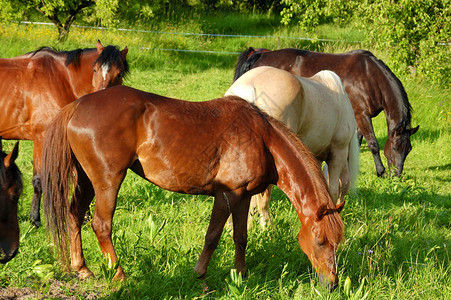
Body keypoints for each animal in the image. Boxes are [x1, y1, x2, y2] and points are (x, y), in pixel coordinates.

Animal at [0, 39, 129, 227]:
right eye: (95, 70)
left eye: (119, 74)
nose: (101, 99)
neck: (61, 80)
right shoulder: (41, 138)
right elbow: (39, 180)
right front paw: (35, 219)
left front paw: (84, 217)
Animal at [42, 85, 346, 290]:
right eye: (320, 241)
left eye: (337, 242)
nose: (331, 283)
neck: (262, 139)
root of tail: (78, 104)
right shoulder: (226, 195)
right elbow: (212, 237)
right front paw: (199, 274)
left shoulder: (244, 196)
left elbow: (241, 237)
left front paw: (241, 276)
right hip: (108, 181)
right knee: (101, 224)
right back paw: (119, 275)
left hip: (86, 180)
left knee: (74, 215)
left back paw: (82, 269)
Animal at [235, 47, 422, 177]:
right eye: (396, 147)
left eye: (409, 149)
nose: (397, 175)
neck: (370, 76)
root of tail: (260, 55)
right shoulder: (362, 115)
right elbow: (373, 144)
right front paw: (380, 171)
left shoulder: (356, 117)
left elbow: (356, 141)